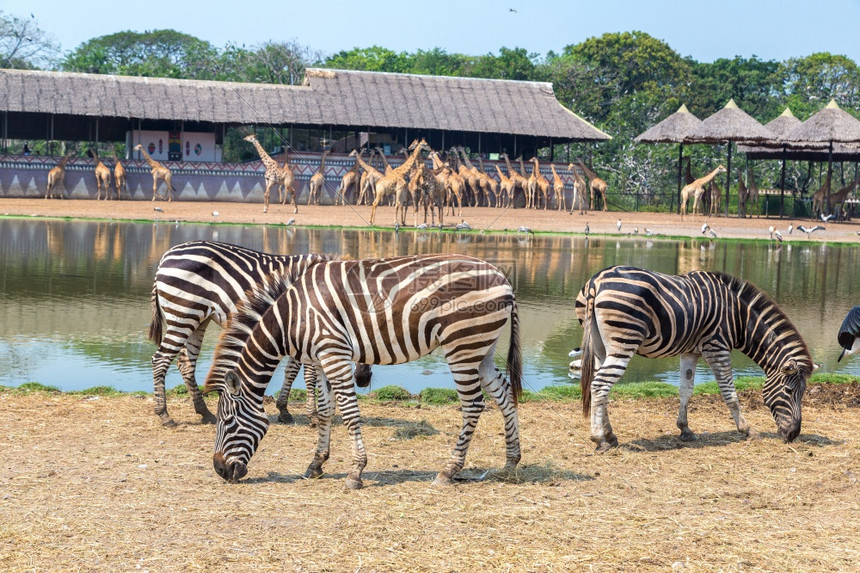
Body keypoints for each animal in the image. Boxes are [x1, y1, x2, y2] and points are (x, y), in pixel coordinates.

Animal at [148, 239, 370, 426]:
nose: (363, 380)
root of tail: (167, 255)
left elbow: (293, 371)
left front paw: (284, 410)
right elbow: (308, 375)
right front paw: (312, 415)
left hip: (198, 319)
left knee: (186, 363)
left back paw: (204, 412)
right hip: (183, 314)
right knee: (160, 359)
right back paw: (164, 415)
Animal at [203, 254, 524, 488]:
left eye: (228, 421)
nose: (219, 470)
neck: (291, 318)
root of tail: (502, 278)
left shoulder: (334, 353)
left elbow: (349, 413)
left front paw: (355, 472)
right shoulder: (321, 359)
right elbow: (325, 412)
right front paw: (316, 464)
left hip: (462, 346)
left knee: (473, 405)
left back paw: (448, 471)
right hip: (482, 348)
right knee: (504, 394)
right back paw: (511, 462)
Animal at [576, 264, 816, 452]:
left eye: (802, 393)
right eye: (789, 391)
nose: (793, 435)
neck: (739, 318)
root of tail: (596, 281)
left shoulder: (690, 351)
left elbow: (686, 389)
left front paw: (685, 429)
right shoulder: (717, 347)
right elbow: (730, 393)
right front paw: (747, 429)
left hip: (601, 347)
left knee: (600, 386)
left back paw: (610, 435)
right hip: (624, 341)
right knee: (600, 385)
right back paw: (599, 439)